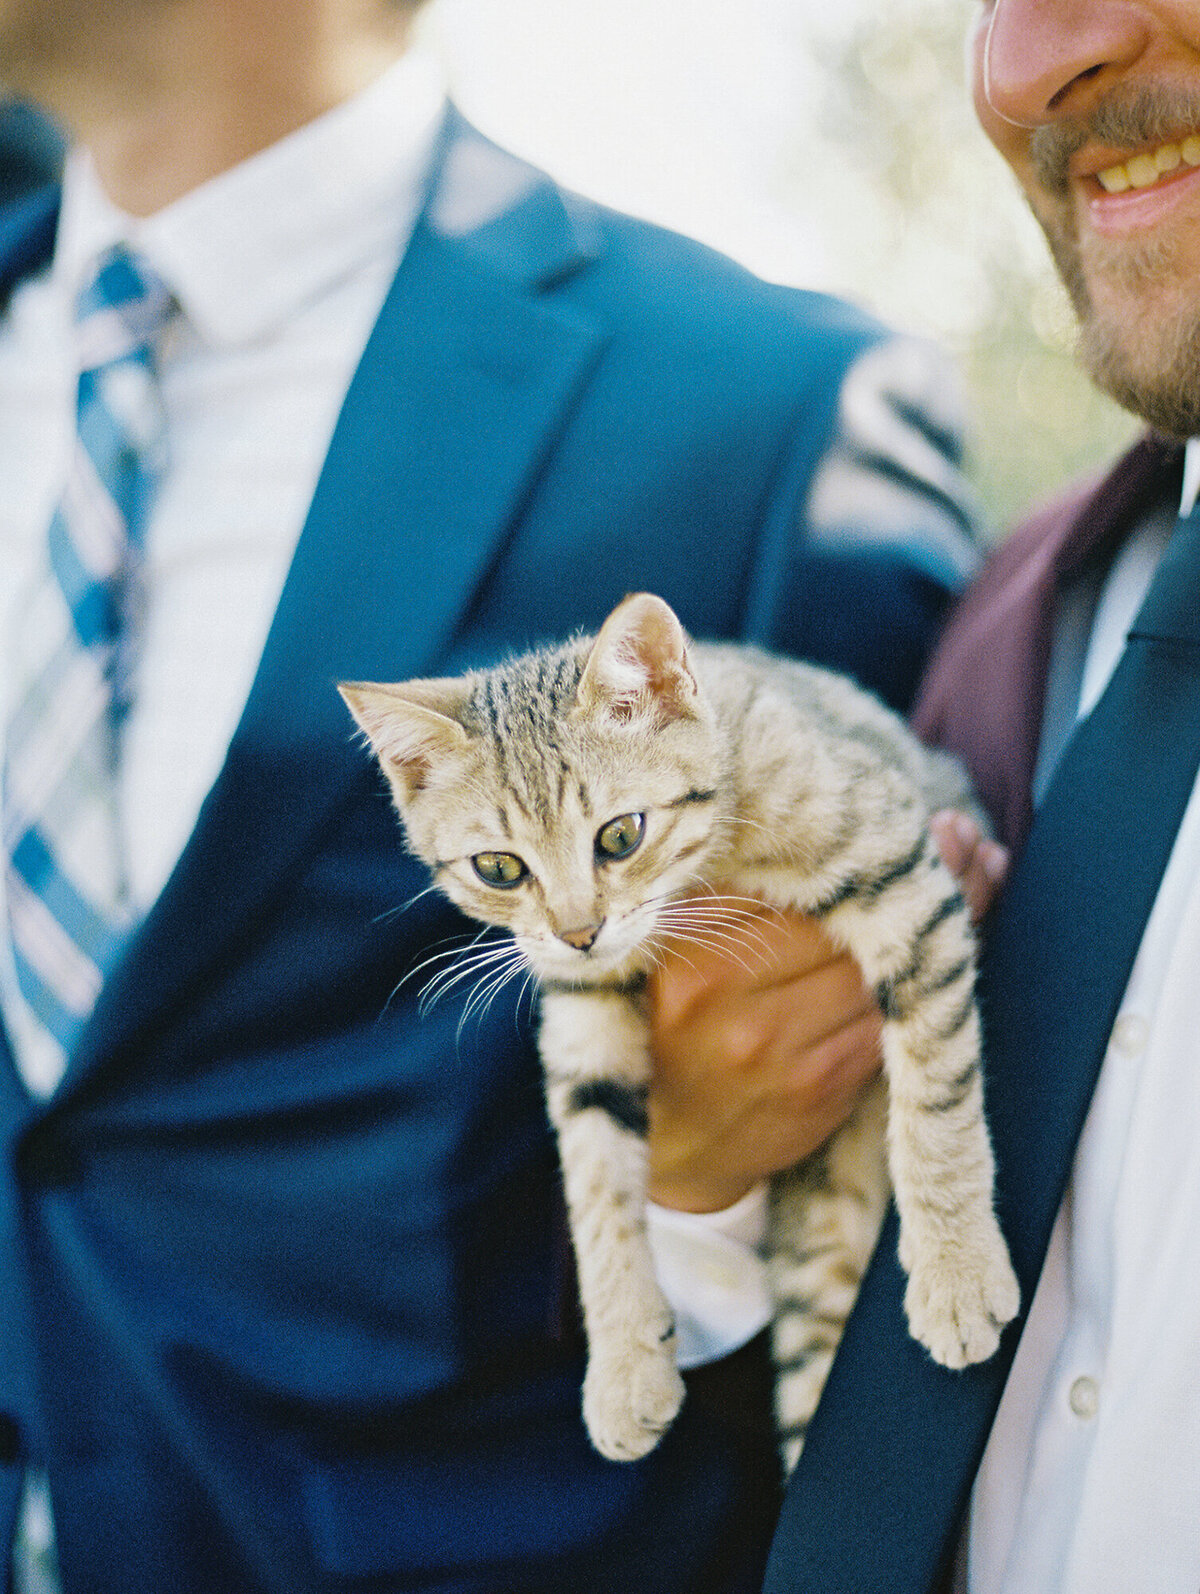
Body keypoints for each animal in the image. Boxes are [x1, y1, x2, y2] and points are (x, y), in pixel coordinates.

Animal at [334, 596, 1013, 1466]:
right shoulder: (582, 1014)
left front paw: (957, 1269)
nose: (579, 933)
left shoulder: (904, 878)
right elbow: (595, 1183)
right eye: (500, 868)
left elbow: (937, 1091)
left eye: (620, 836)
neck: (710, 862)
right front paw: (625, 1364)